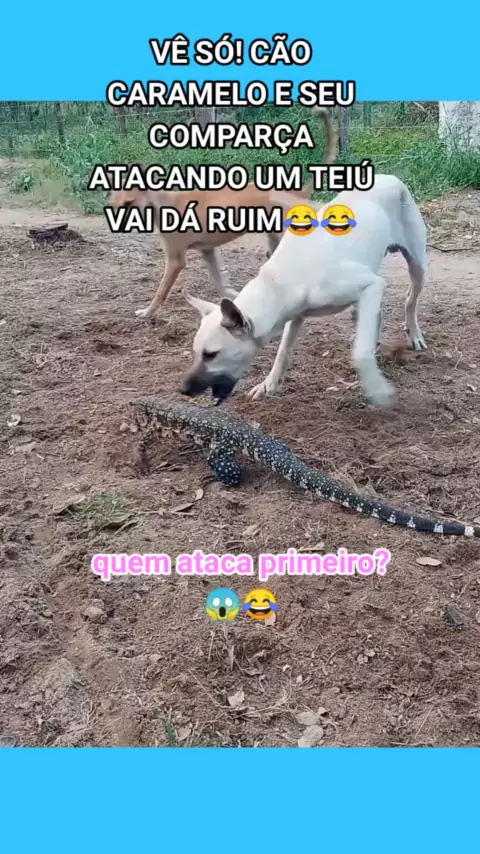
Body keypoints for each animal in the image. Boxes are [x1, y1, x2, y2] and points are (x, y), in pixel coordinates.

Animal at [109, 107, 336, 320]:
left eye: (129, 203)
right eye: (115, 204)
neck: (162, 203)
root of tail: (296, 192)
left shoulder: (176, 260)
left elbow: (161, 291)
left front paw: (148, 312)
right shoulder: (208, 251)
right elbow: (219, 282)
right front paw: (234, 298)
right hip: (274, 242)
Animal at [179, 174, 428, 408]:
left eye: (211, 355)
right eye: (196, 352)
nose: (182, 389)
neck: (280, 280)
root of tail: (389, 177)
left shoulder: (371, 284)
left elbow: (360, 354)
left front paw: (378, 390)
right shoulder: (295, 316)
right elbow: (283, 353)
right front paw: (268, 384)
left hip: (417, 266)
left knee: (409, 300)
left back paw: (414, 335)